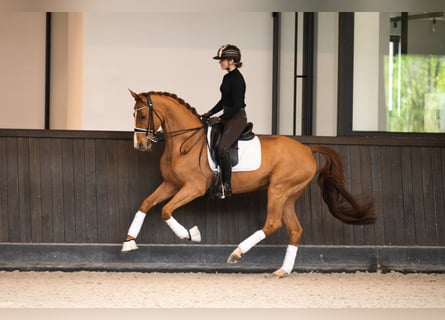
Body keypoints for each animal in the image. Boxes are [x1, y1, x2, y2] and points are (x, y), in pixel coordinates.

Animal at [122, 89, 374, 278]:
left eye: (142, 116)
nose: (140, 145)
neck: (184, 141)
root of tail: (306, 149)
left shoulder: (193, 187)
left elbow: (165, 210)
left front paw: (191, 234)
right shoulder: (171, 184)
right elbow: (146, 204)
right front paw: (128, 243)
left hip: (278, 189)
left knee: (272, 223)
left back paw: (237, 253)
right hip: (289, 195)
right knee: (295, 229)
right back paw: (282, 271)